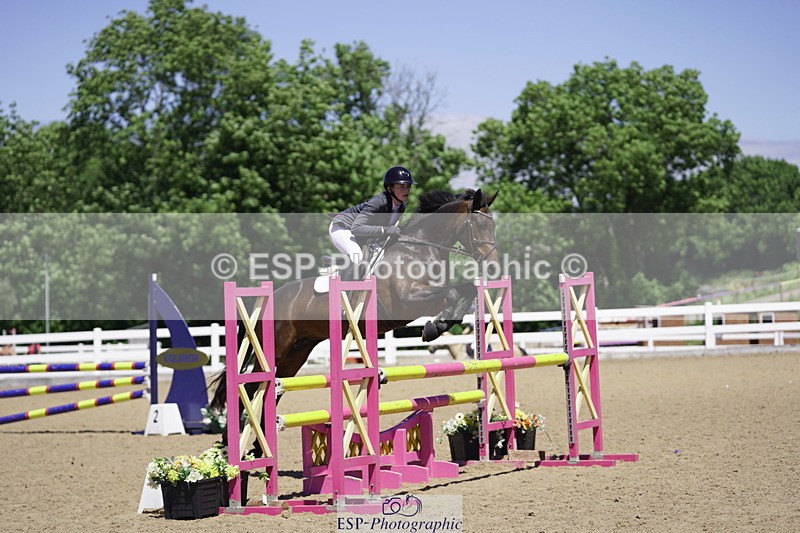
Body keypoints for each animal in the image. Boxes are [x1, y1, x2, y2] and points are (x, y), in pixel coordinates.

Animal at [209, 188, 499, 410]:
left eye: (493, 224)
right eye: (480, 225)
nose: (493, 264)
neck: (417, 249)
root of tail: (267, 300)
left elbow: (464, 291)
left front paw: (440, 325)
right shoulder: (409, 300)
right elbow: (451, 293)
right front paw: (432, 329)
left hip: (297, 352)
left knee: (275, 388)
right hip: (275, 348)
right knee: (252, 386)